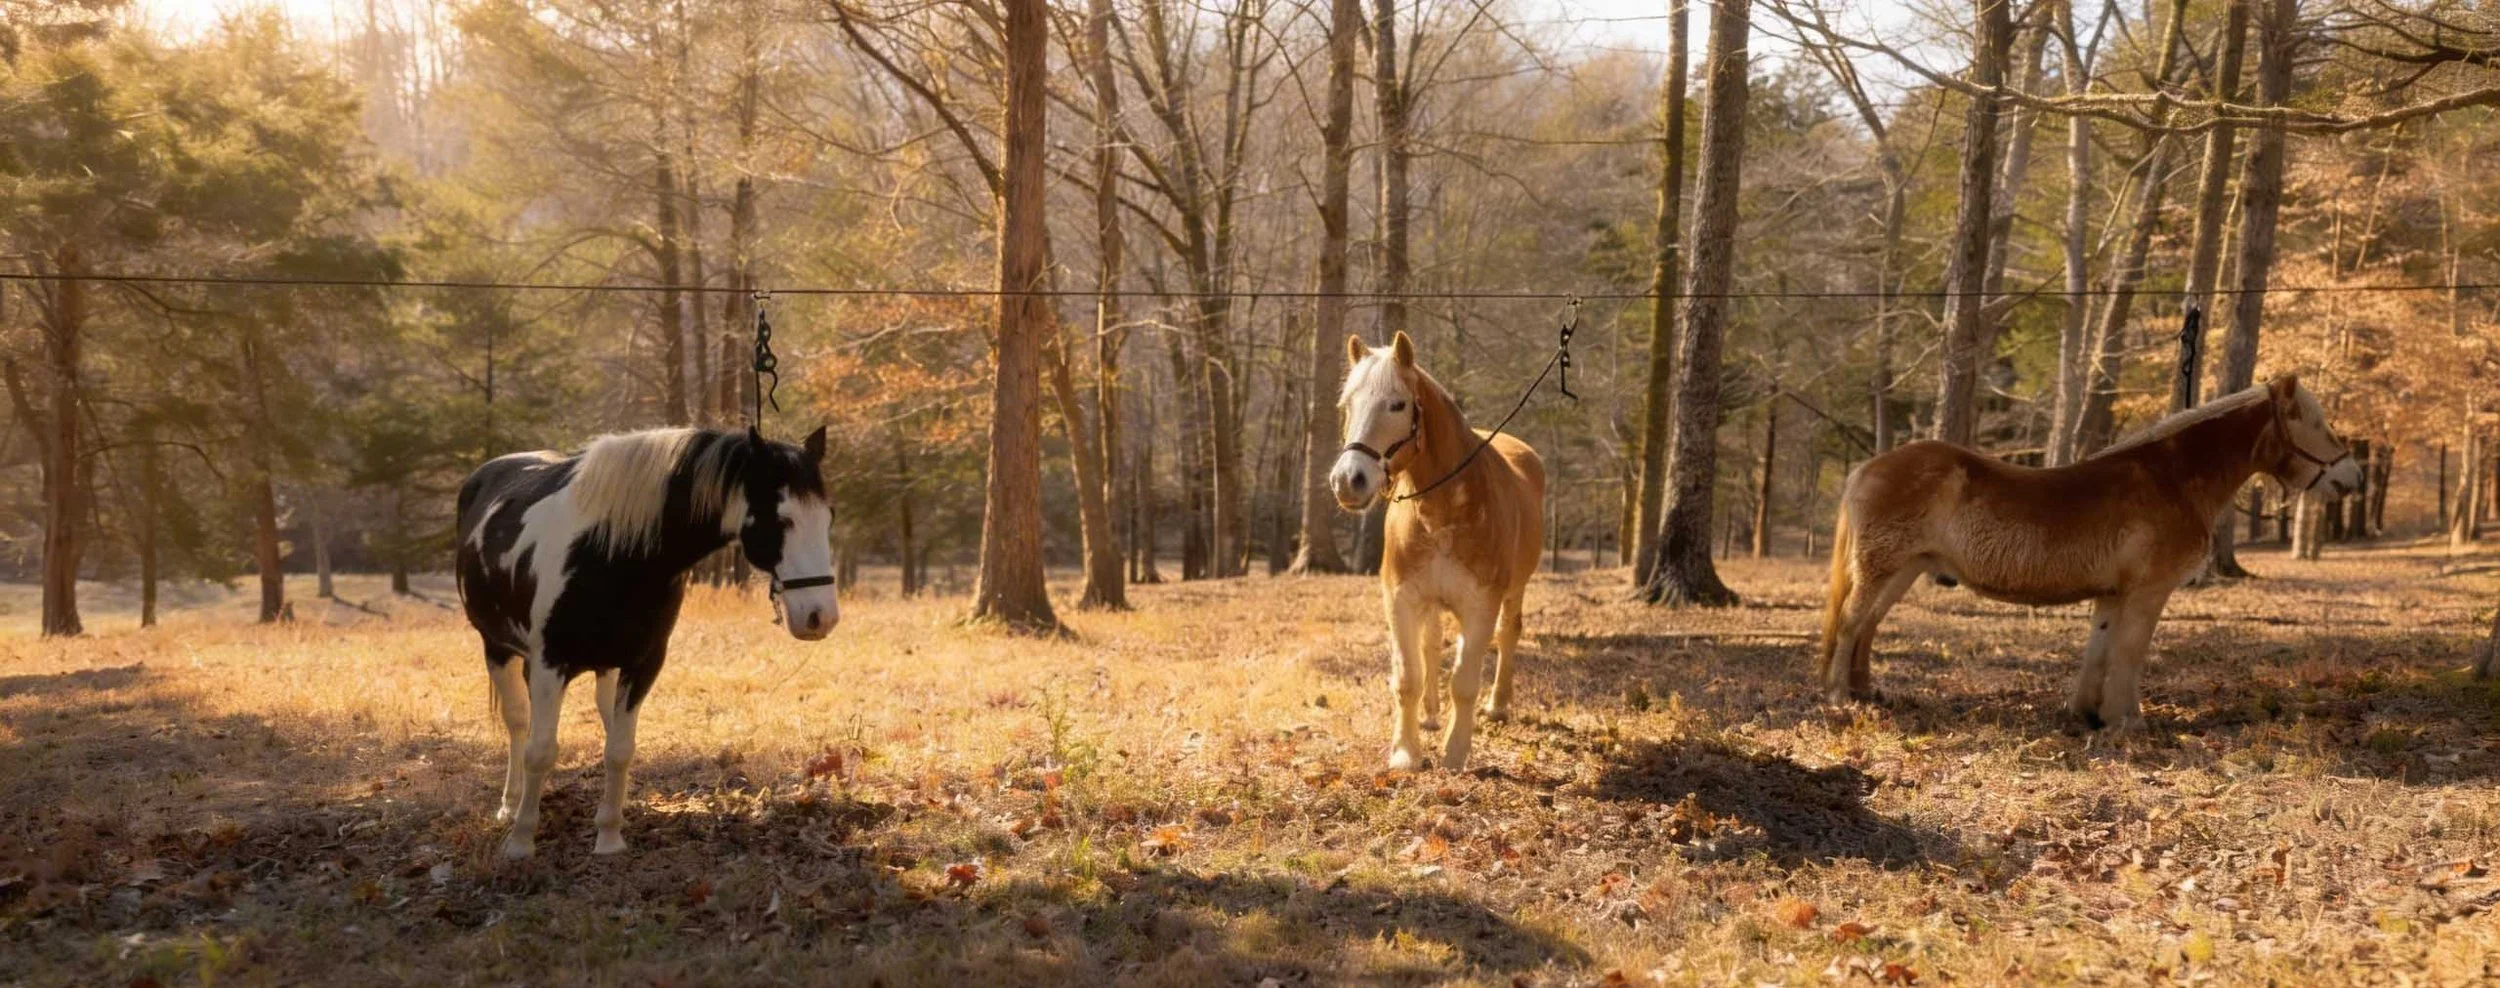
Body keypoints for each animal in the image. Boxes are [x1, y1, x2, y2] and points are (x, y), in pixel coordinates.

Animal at [455, 425, 839, 858]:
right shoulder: (549, 663)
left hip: (601, 664)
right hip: (497, 649)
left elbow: (619, 750)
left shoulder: (643, 663)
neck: (611, 551)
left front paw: (609, 835)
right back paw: (509, 805)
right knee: (518, 722)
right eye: (782, 520)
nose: (820, 617)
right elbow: (539, 751)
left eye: (828, 517)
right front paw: (521, 840)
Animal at [1330, 331, 1547, 772]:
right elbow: (1408, 677)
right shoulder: (1402, 600)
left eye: (1397, 404)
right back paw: (1430, 714)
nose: (1348, 481)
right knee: (1430, 644)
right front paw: (1405, 751)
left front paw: (1455, 752)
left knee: (1508, 634)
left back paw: (1497, 705)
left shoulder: (1481, 606)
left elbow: (1464, 682)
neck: (1443, 511)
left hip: (1514, 591)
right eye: (1347, 405)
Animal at [1817, 374, 2361, 731]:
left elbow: (2100, 650)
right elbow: (2129, 652)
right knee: (1851, 622)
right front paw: (2127, 720)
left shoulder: (2113, 594)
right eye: (2317, 423)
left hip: (1903, 570)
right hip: (1881, 568)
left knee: (1868, 625)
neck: (2173, 478)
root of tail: (1868, 467)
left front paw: (2088, 714)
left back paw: (1866, 691)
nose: (2351, 477)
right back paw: (1840, 696)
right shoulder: (2147, 593)